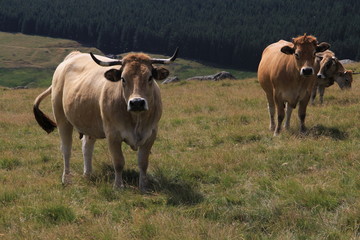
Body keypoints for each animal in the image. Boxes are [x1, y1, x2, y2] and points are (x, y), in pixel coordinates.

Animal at [33, 47, 179, 192]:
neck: (136, 120)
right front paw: (118, 186)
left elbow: (143, 163)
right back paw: (66, 179)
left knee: (87, 147)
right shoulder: (112, 134)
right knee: (66, 149)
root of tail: (73, 55)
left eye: (150, 77)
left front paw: (143, 186)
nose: (137, 102)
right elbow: (119, 162)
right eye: (123, 79)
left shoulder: (151, 134)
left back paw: (87, 174)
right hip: (62, 118)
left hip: (89, 124)